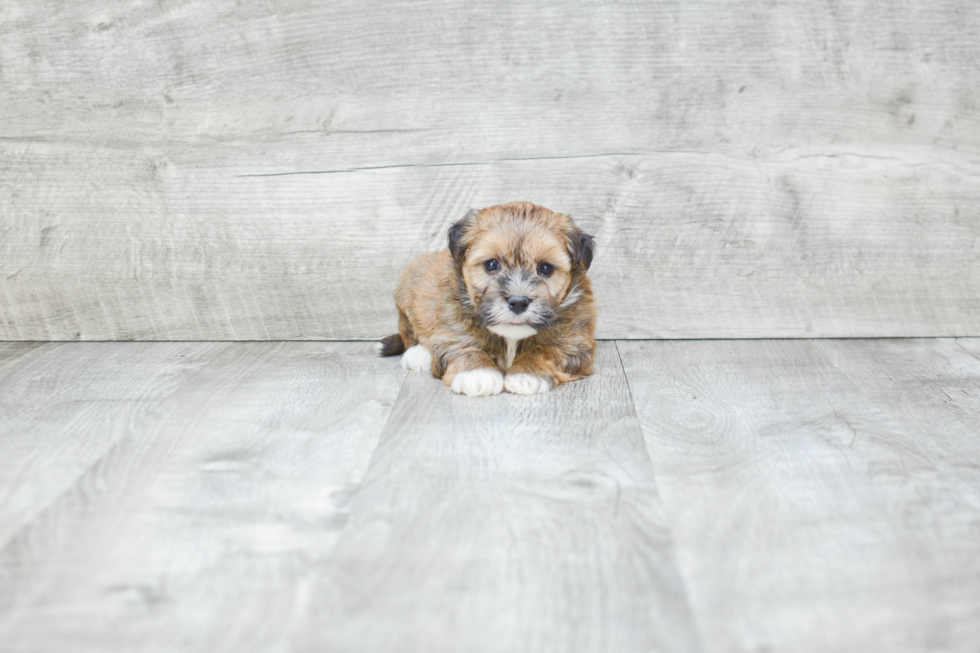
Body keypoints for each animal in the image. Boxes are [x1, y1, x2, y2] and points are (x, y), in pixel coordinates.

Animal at [378, 201, 596, 394]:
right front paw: (477, 373)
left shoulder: (574, 342)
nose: (518, 302)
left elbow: (545, 350)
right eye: (491, 265)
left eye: (545, 268)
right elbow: (463, 347)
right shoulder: (452, 328)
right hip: (409, 288)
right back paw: (418, 353)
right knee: (411, 333)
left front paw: (527, 373)